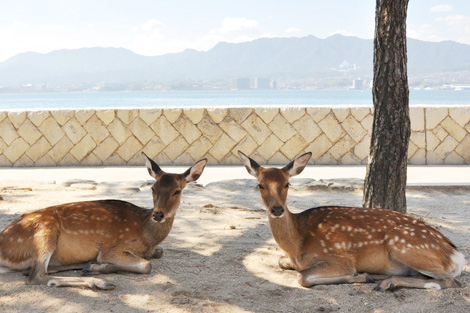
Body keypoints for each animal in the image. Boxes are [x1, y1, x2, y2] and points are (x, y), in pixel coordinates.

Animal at [0, 152, 206, 288]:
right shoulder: (113, 247)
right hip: (45, 232)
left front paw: (94, 266)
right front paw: (100, 267)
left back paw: (86, 266)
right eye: (153, 188)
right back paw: (99, 282)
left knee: (35, 270)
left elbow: (159, 253)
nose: (158, 214)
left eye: (177, 191)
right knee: (36, 275)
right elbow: (147, 265)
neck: (147, 234)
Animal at [239, 151, 466, 290]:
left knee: (450, 280)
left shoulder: (339, 257)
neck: (296, 244)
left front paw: (359, 276)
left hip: (404, 246)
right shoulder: (289, 259)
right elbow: (282, 262)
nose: (277, 209)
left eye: (287, 184)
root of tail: (456, 255)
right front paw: (364, 276)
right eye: (260, 185)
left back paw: (386, 283)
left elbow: (302, 277)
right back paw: (381, 278)